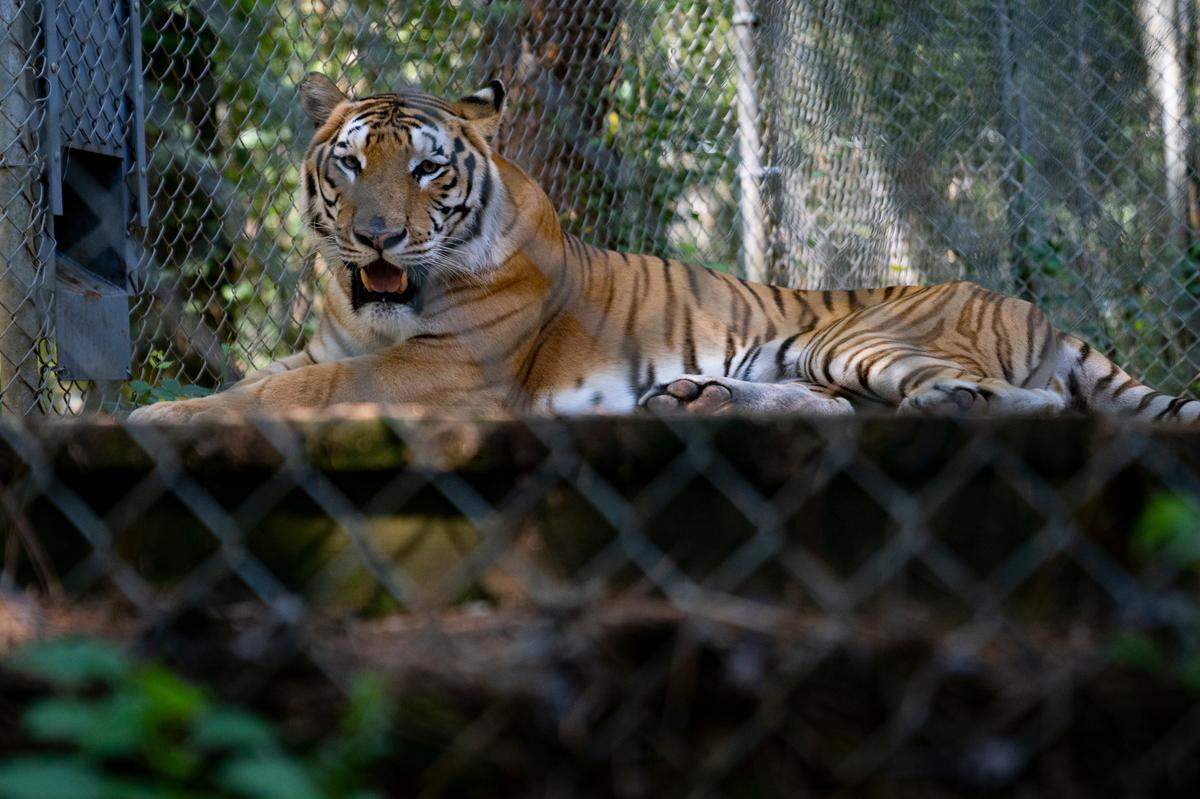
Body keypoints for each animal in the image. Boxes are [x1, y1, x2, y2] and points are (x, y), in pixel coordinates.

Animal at [128, 73, 1200, 424]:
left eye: (428, 171)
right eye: (349, 165)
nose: (377, 234)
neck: (374, 306)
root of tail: (1026, 303)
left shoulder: (441, 371)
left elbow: (286, 394)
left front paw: (157, 418)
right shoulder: (332, 346)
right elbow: (256, 380)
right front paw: (172, 405)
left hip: (864, 339)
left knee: (1019, 400)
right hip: (820, 359)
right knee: (836, 407)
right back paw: (696, 397)